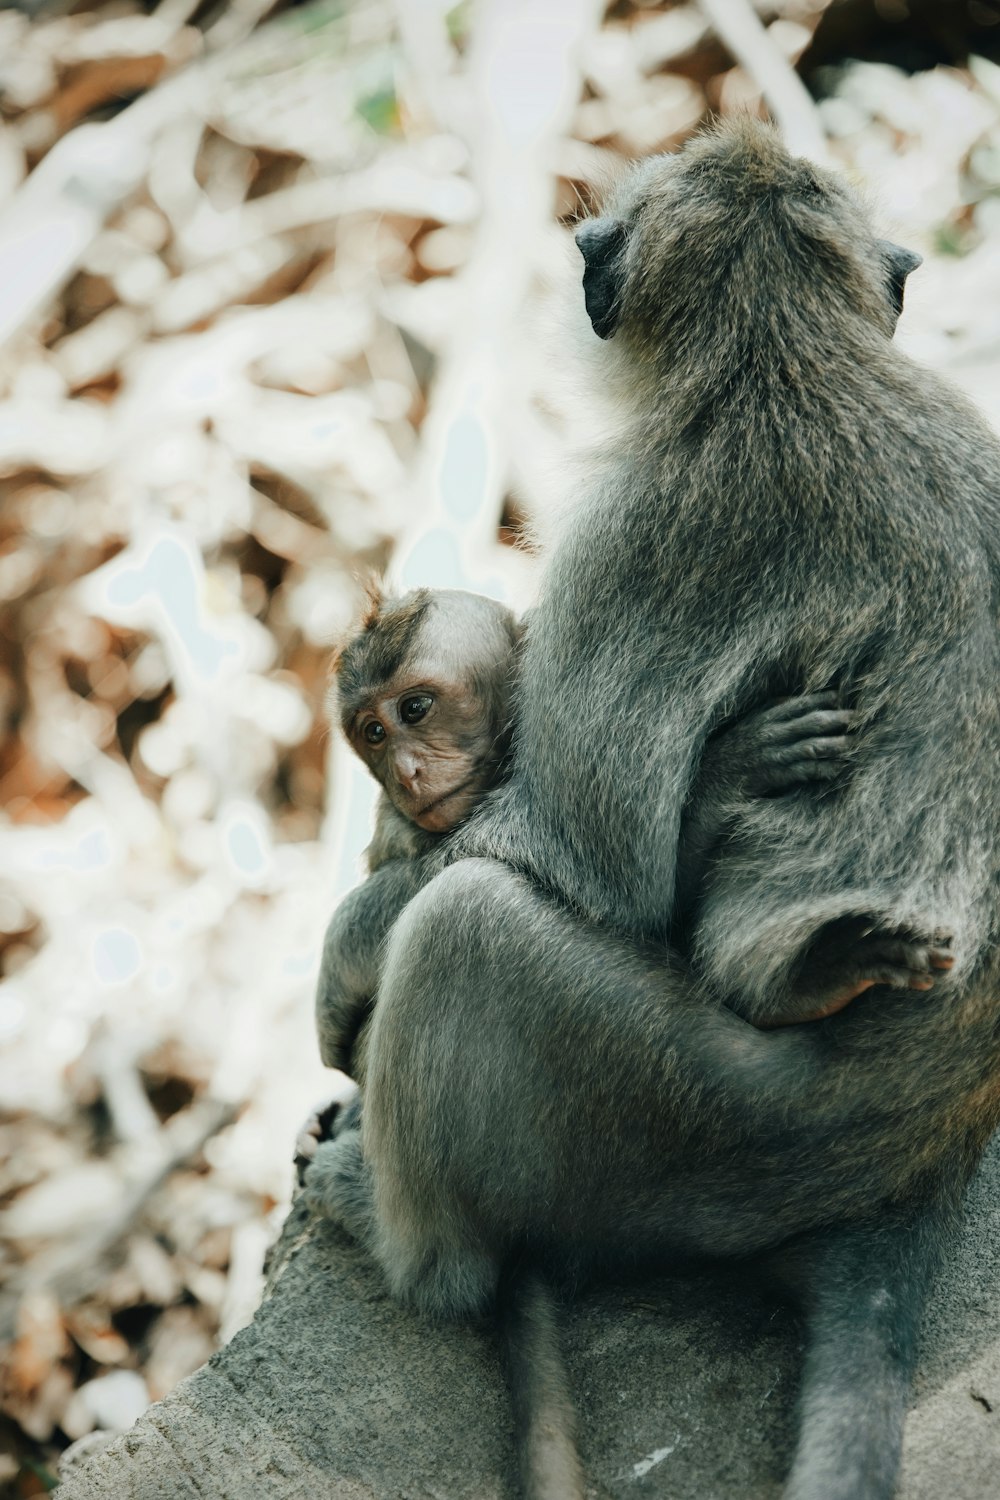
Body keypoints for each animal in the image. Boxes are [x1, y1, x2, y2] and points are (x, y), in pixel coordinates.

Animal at [302, 120, 1000, 1500]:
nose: (405, 771)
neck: (790, 350)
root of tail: (932, 1145)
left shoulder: (638, 531)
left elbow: (584, 866)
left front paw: (344, 956)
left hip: (687, 1124)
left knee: (467, 931)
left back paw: (411, 1247)